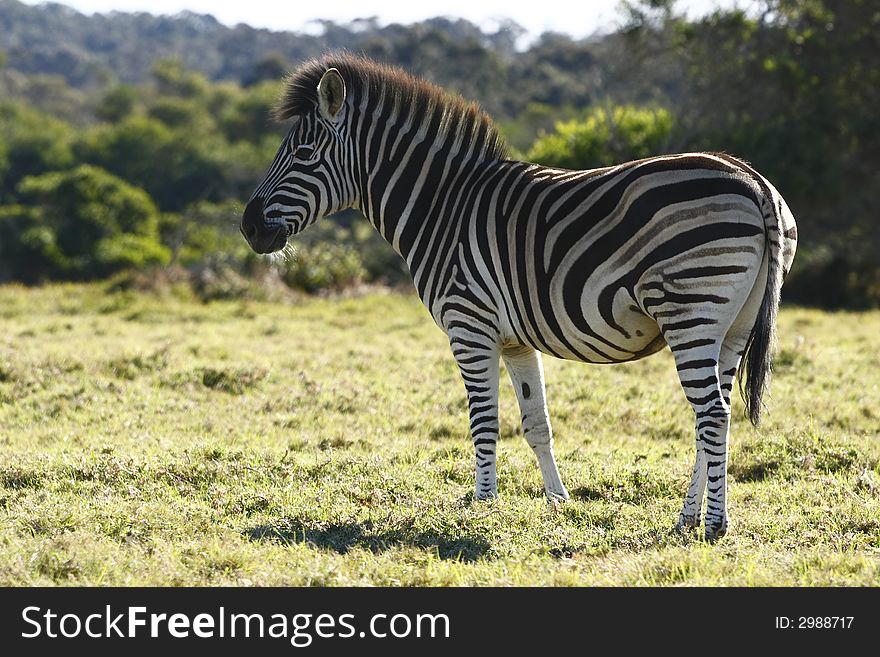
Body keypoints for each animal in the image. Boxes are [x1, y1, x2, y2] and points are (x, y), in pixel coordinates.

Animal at [241, 53, 796, 540]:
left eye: (304, 156)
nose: (248, 227)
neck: (441, 206)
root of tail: (755, 182)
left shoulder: (469, 326)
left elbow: (484, 422)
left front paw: (483, 506)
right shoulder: (515, 340)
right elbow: (536, 424)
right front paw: (558, 502)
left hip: (690, 311)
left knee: (713, 415)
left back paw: (715, 524)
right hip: (732, 327)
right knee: (714, 417)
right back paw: (686, 518)